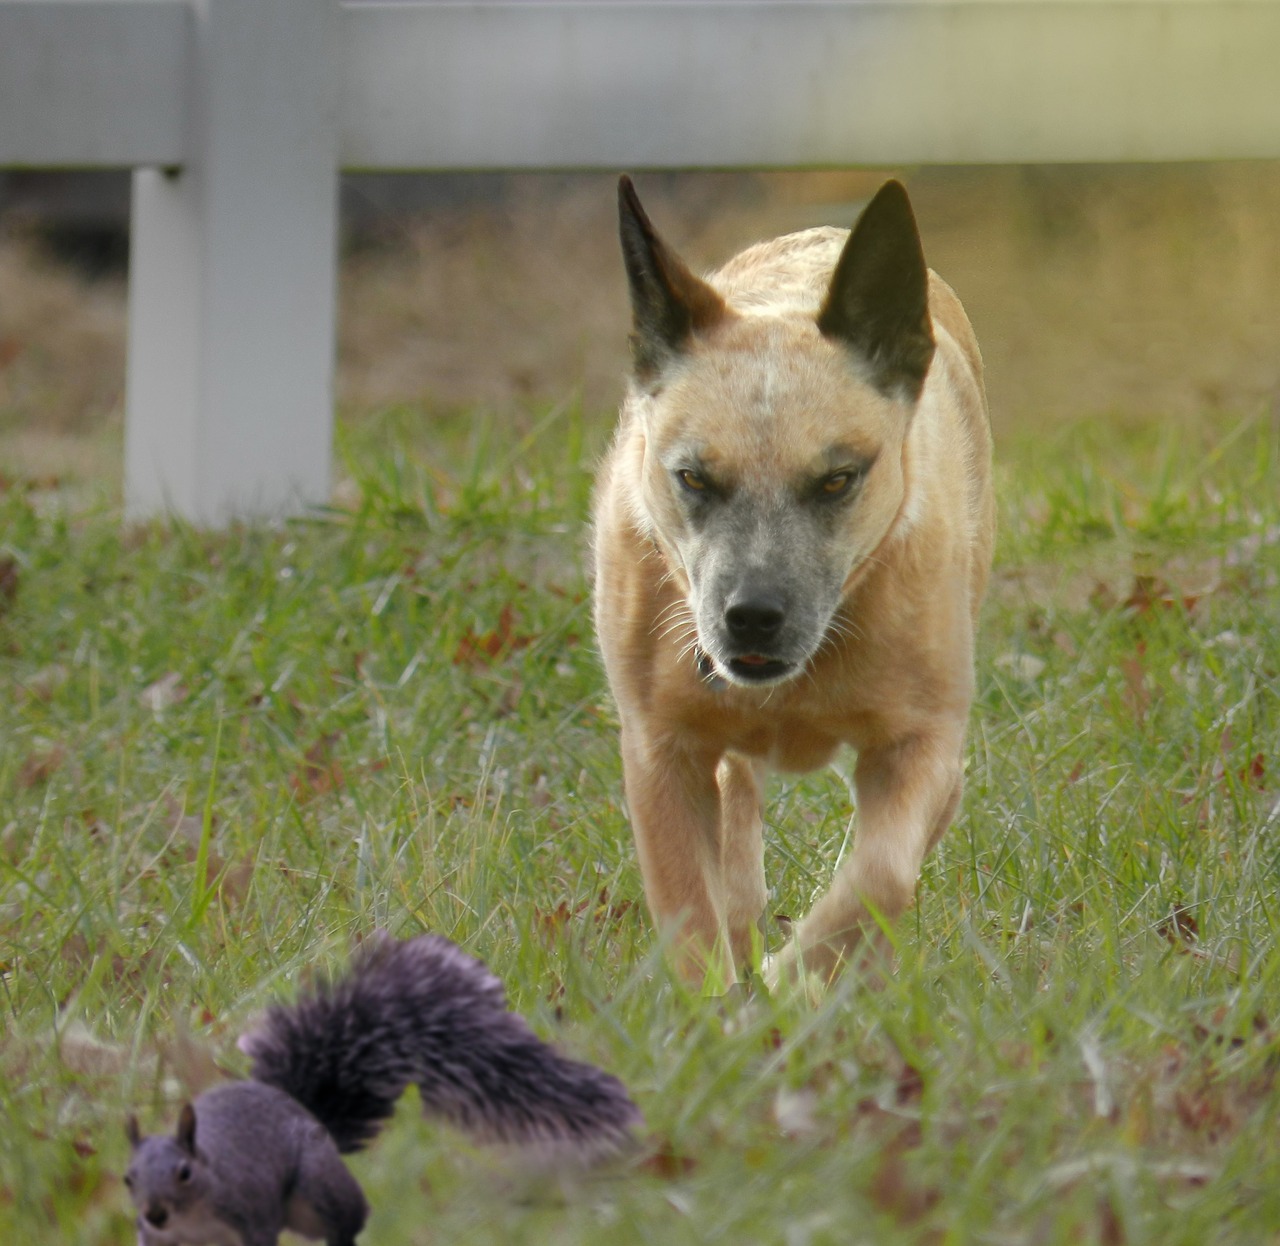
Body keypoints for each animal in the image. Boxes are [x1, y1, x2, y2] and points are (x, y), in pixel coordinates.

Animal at [122, 932, 640, 1244]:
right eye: (126, 1178)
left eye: (185, 1173)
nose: (155, 1212)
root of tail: (303, 1111)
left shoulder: (251, 1212)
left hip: (316, 1189)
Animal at [593, 178, 993, 993]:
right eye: (692, 477)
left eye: (839, 478)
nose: (751, 616)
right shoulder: (659, 750)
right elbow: (689, 906)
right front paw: (720, 1002)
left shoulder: (927, 744)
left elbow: (880, 876)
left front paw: (793, 980)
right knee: (737, 806)